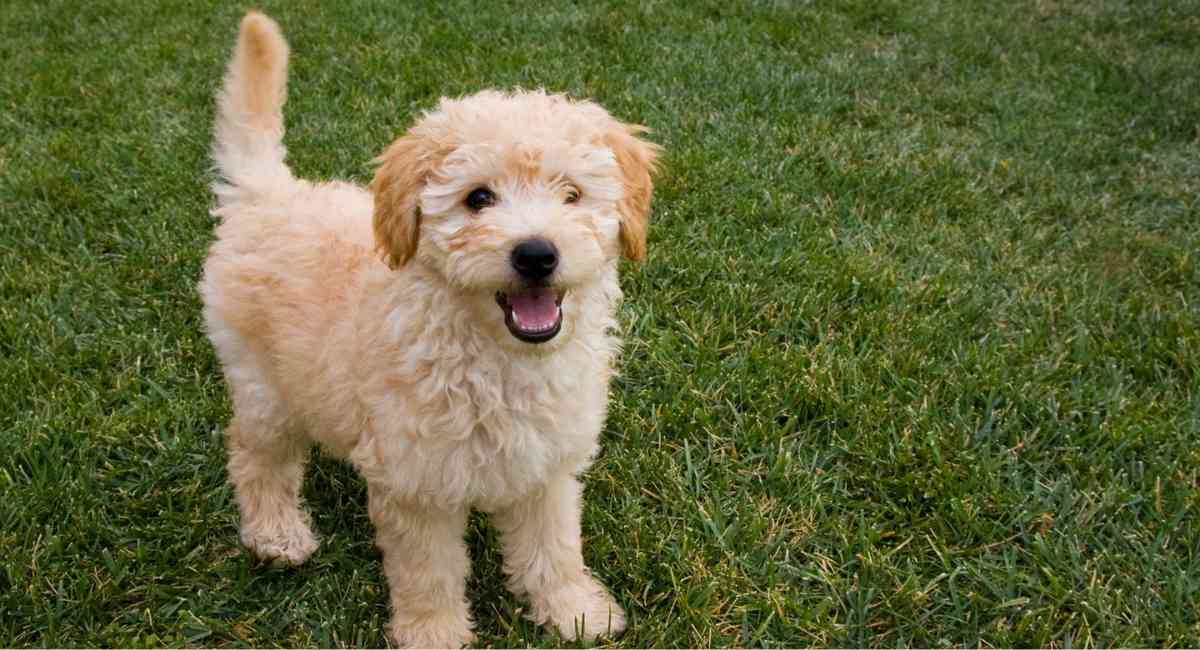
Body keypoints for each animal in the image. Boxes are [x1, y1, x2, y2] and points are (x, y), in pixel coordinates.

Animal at [200, 10, 662, 650]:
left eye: (571, 194)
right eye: (477, 198)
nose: (536, 254)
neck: (496, 358)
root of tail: (268, 194)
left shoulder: (546, 464)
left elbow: (554, 547)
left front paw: (574, 610)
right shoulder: (417, 486)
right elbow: (429, 572)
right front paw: (434, 633)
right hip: (264, 384)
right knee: (254, 455)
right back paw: (276, 534)